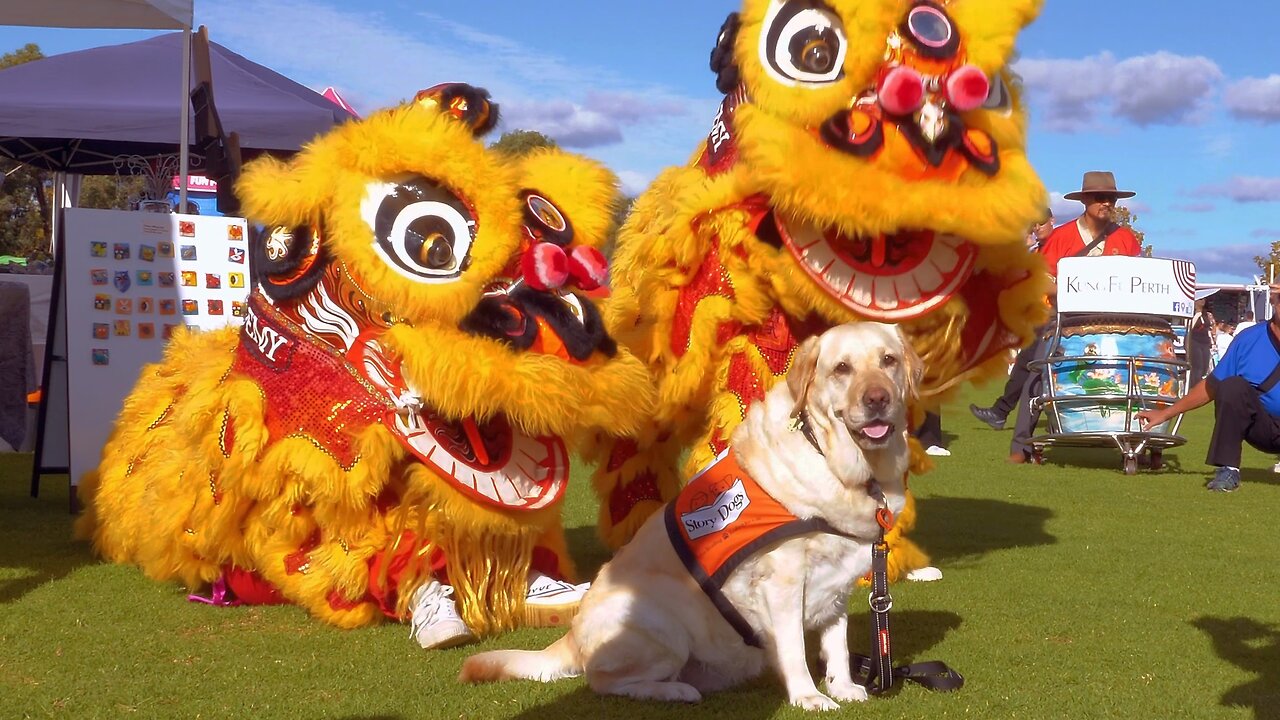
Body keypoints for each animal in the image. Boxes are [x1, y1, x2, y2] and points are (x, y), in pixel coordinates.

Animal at [465, 324, 916, 707]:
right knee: (603, 681)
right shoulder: (783, 580)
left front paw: (844, 686)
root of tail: (573, 634)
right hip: (660, 620)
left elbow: (835, 642)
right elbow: (794, 649)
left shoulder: (837, 584)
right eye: (842, 368)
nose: (877, 399)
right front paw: (809, 696)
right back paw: (674, 691)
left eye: (888, 360)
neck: (847, 469)